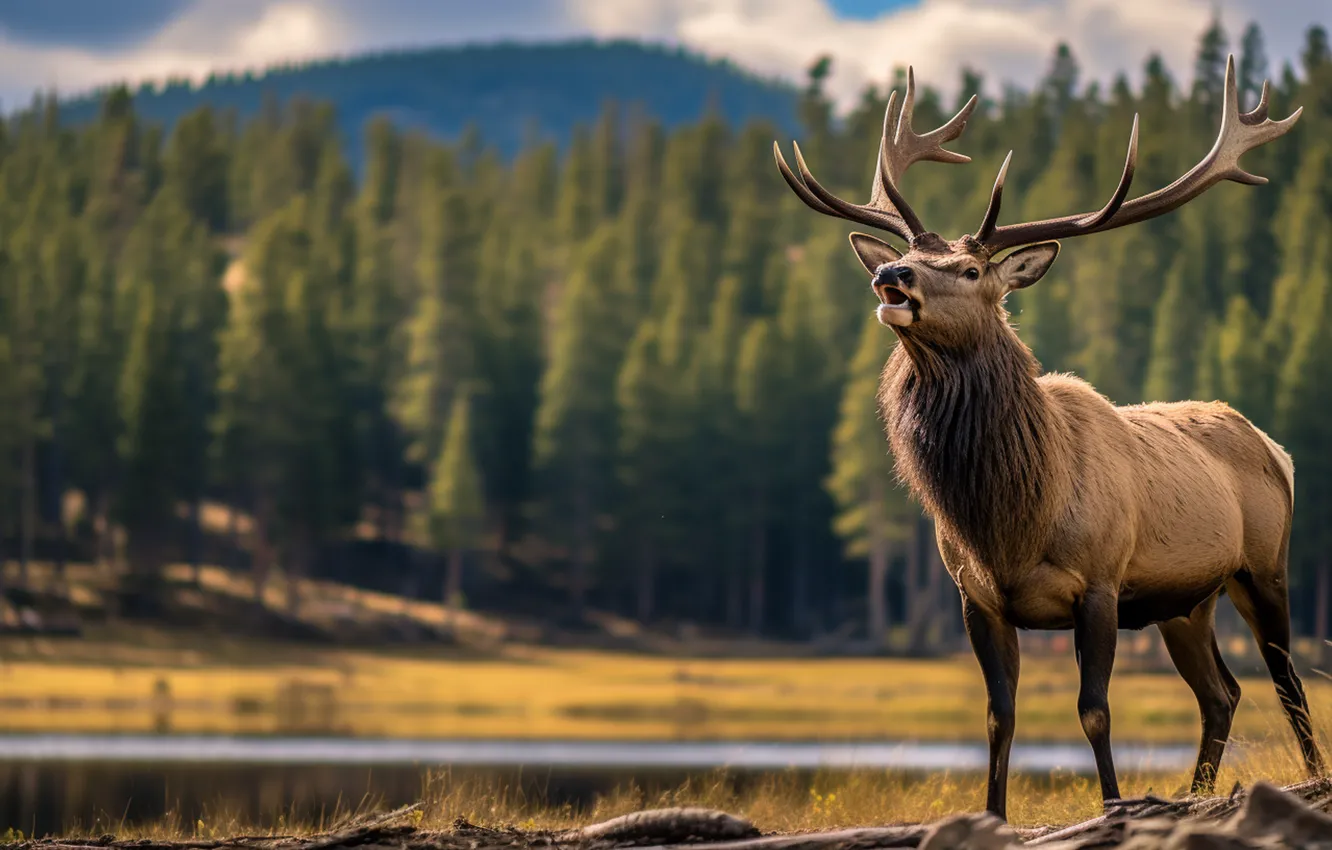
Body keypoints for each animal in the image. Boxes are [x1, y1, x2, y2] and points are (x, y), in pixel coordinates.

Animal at [773, 55, 1322, 821]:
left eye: (971, 269)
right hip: (1188, 601)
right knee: (1222, 692)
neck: (1012, 519)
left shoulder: (1100, 584)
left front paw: (1116, 806)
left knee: (1289, 684)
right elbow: (998, 717)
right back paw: (1197, 794)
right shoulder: (976, 597)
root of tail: (1277, 449)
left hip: (1263, 566)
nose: (890, 273)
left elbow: (1095, 709)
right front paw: (994, 814)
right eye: (909, 253)